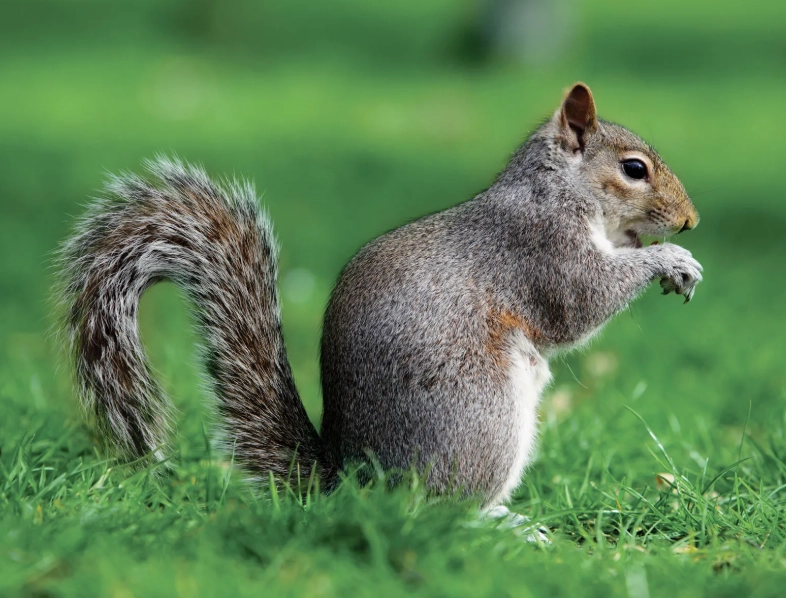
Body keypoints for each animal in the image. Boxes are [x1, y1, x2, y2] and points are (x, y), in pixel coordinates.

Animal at [57, 83, 702, 508]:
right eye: (634, 169)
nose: (689, 221)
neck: (558, 191)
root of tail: (352, 482)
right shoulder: (540, 249)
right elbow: (581, 302)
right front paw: (668, 259)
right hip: (482, 417)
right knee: (441, 510)